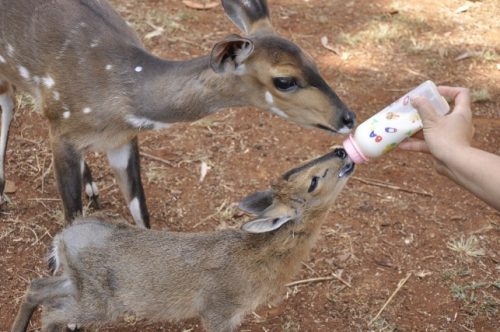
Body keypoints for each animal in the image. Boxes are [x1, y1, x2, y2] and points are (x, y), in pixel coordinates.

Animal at [0, 0, 356, 227]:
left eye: (312, 59)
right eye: (285, 80)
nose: (348, 117)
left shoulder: (123, 140)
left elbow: (141, 213)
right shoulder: (61, 131)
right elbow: (71, 220)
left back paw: (92, 189)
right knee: (7, 101)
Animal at [11, 148, 356, 332]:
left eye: (298, 168)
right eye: (314, 181)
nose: (341, 152)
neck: (258, 258)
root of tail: (63, 237)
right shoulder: (218, 311)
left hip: (76, 284)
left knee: (37, 288)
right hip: (100, 303)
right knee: (53, 312)